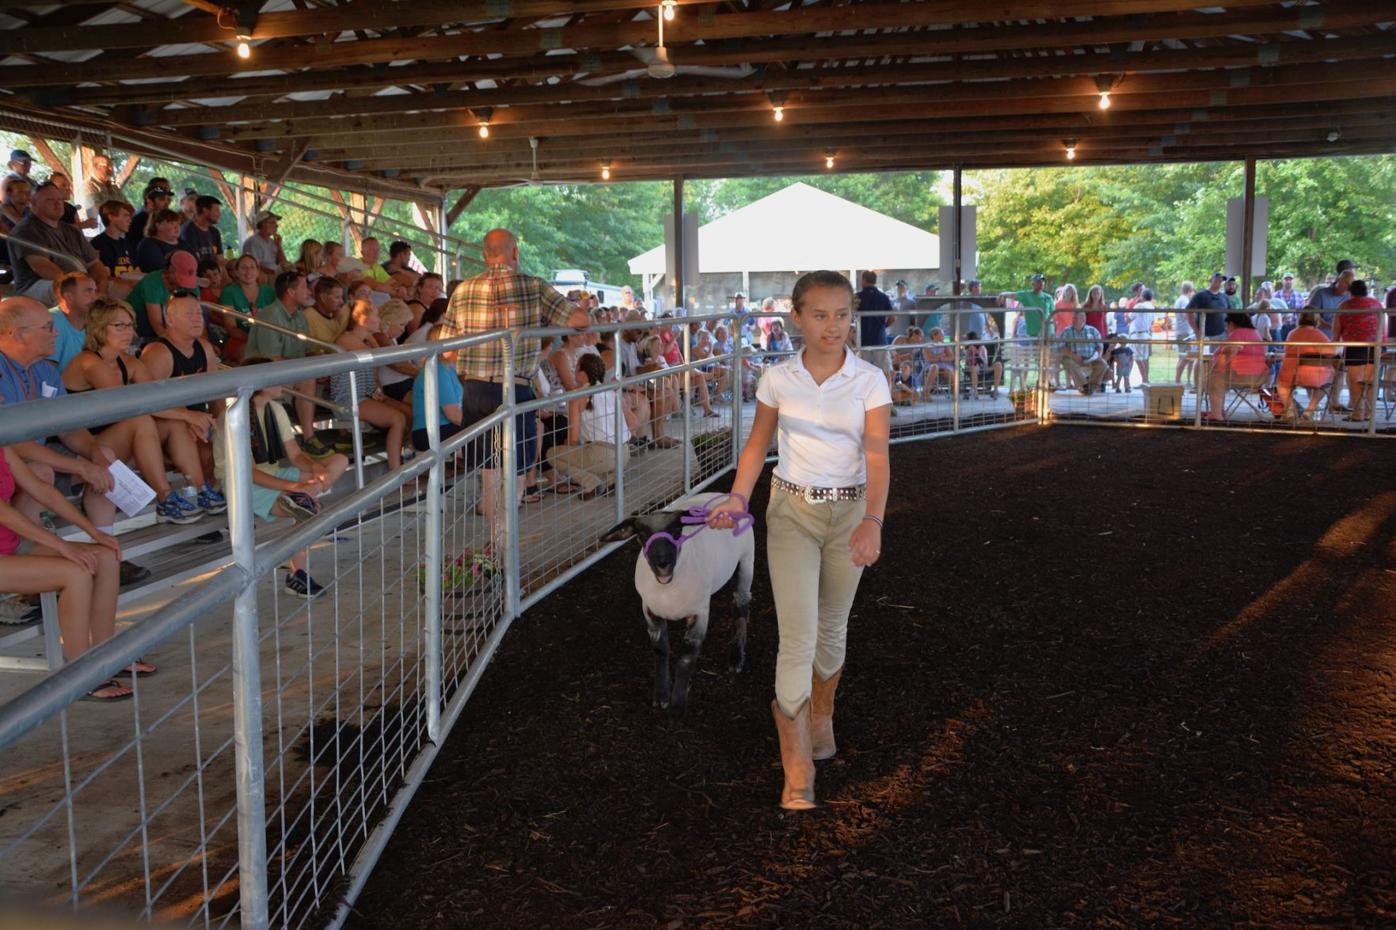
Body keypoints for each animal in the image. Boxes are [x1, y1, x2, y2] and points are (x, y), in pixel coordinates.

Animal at [600, 491, 753, 714]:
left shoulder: (699, 614)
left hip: (747, 560)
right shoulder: (649, 611)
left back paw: (736, 657)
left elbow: (686, 659)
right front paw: (661, 695)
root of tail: (722, 494)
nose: (662, 564)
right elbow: (661, 651)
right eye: (642, 535)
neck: (668, 590)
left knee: (741, 606)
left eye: (677, 530)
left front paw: (677, 705)